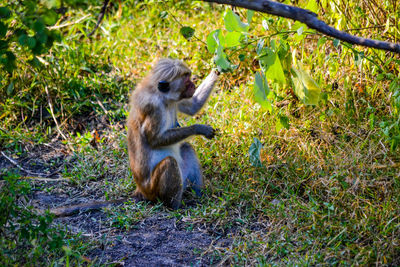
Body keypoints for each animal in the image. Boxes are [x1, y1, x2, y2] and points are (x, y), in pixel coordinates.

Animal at [46, 58, 220, 218]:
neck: (163, 97)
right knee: (170, 162)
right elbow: (154, 139)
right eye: (185, 79)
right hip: (154, 189)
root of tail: (141, 190)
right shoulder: (153, 108)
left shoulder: (174, 100)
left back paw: (199, 196)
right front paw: (198, 128)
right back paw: (176, 207)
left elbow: (193, 106)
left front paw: (218, 68)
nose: (192, 85)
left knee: (186, 148)